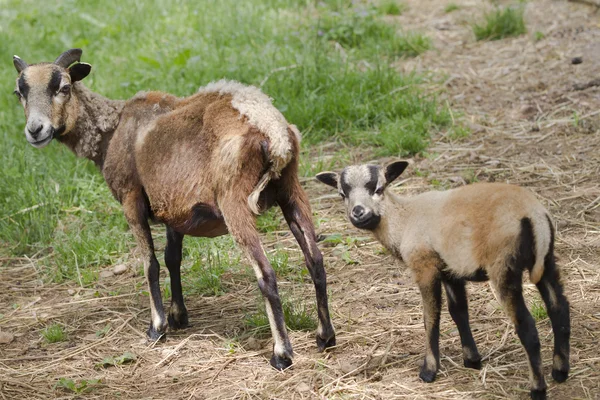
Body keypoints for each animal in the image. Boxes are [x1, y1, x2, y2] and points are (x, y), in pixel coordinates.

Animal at [11, 47, 336, 368]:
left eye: (64, 87)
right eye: (19, 92)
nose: (35, 130)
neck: (112, 129)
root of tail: (276, 134)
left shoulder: (131, 198)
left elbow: (151, 264)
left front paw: (158, 327)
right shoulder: (175, 210)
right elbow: (172, 259)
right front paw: (179, 315)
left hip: (234, 200)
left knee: (266, 274)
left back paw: (282, 354)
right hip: (291, 191)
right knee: (315, 261)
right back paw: (325, 337)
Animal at [316, 162, 568, 400]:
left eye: (378, 188)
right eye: (342, 193)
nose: (358, 212)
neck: (403, 220)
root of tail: (533, 215)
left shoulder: (425, 267)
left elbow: (431, 317)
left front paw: (428, 370)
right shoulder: (450, 271)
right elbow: (459, 312)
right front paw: (472, 360)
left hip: (503, 266)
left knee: (527, 326)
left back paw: (538, 388)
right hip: (546, 261)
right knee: (559, 309)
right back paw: (560, 371)